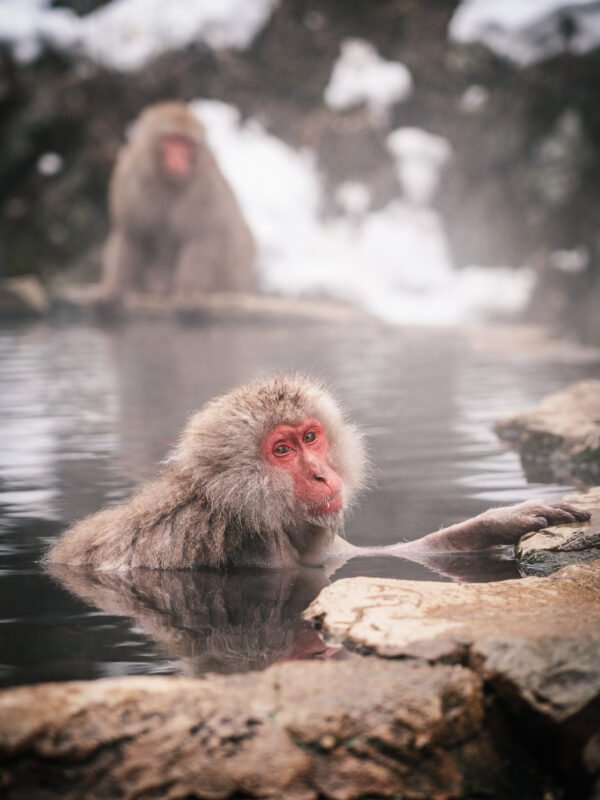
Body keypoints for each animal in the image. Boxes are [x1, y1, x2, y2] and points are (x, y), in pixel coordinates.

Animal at [45, 374, 591, 571]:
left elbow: (367, 556)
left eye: (310, 438)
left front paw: (500, 520)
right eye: (281, 450)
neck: (238, 508)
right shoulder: (256, 550)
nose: (323, 478)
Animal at [97, 102, 256, 304]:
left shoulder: (206, 187)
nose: (180, 160)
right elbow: (133, 233)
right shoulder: (130, 178)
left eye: (188, 144)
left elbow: (202, 236)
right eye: (172, 139)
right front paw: (118, 286)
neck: (168, 182)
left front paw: (189, 290)